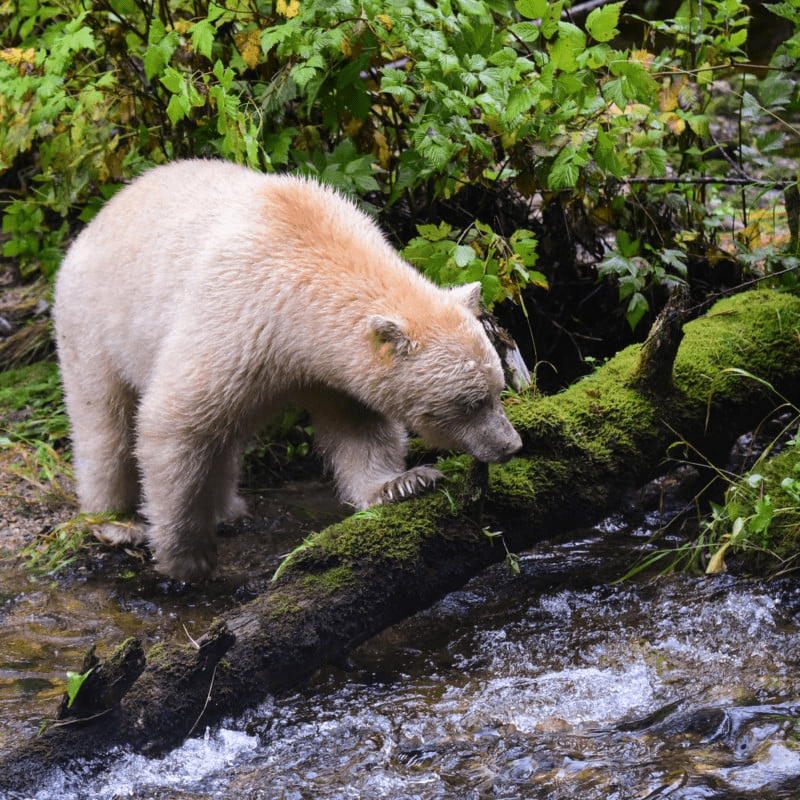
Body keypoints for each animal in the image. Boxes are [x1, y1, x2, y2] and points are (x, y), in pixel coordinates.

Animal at [53, 159, 520, 580]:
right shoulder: (238, 317)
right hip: (92, 324)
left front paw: (403, 484)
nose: (511, 446)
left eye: (498, 389)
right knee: (104, 425)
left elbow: (359, 426)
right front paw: (186, 557)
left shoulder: (326, 368)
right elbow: (173, 420)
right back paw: (114, 521)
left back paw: (227, 508)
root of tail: (93, 224)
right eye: (470, 403)